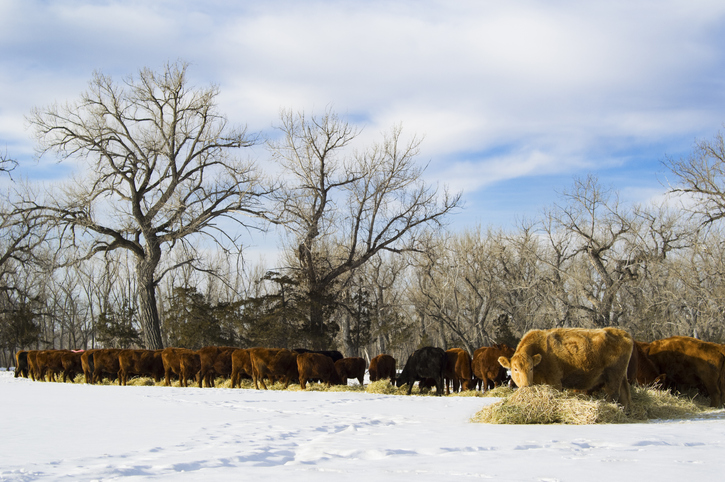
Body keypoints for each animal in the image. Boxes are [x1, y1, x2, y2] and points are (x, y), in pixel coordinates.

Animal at [498, 326, 632, 408]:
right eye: (515, 369)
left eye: (531, 368)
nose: (526, 386)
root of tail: (624, 334)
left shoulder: (555, 382)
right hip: (621, 378)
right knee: (625, 396)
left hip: (613, 378)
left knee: (614, 395)